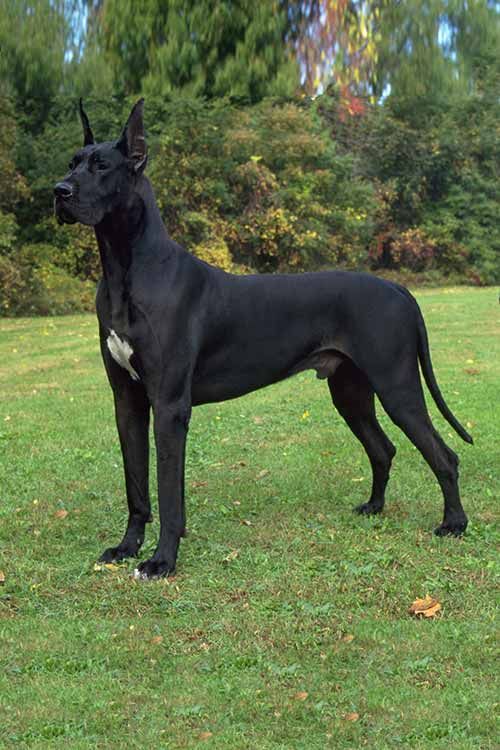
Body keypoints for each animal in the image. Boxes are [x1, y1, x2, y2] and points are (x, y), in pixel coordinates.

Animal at [54, 101, 472, 580]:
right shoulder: (127, 401)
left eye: (102, 166)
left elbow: (169, 491)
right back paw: (374, 507)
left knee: (443, 455)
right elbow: (137, 486)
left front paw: (161, 561)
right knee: (383, 449)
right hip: (350, 391)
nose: (59, 191)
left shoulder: (169, 405)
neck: (126, 268)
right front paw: (126, 547)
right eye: (72, 162)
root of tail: (399, 289)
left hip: (397, 386)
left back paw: (454, 523)